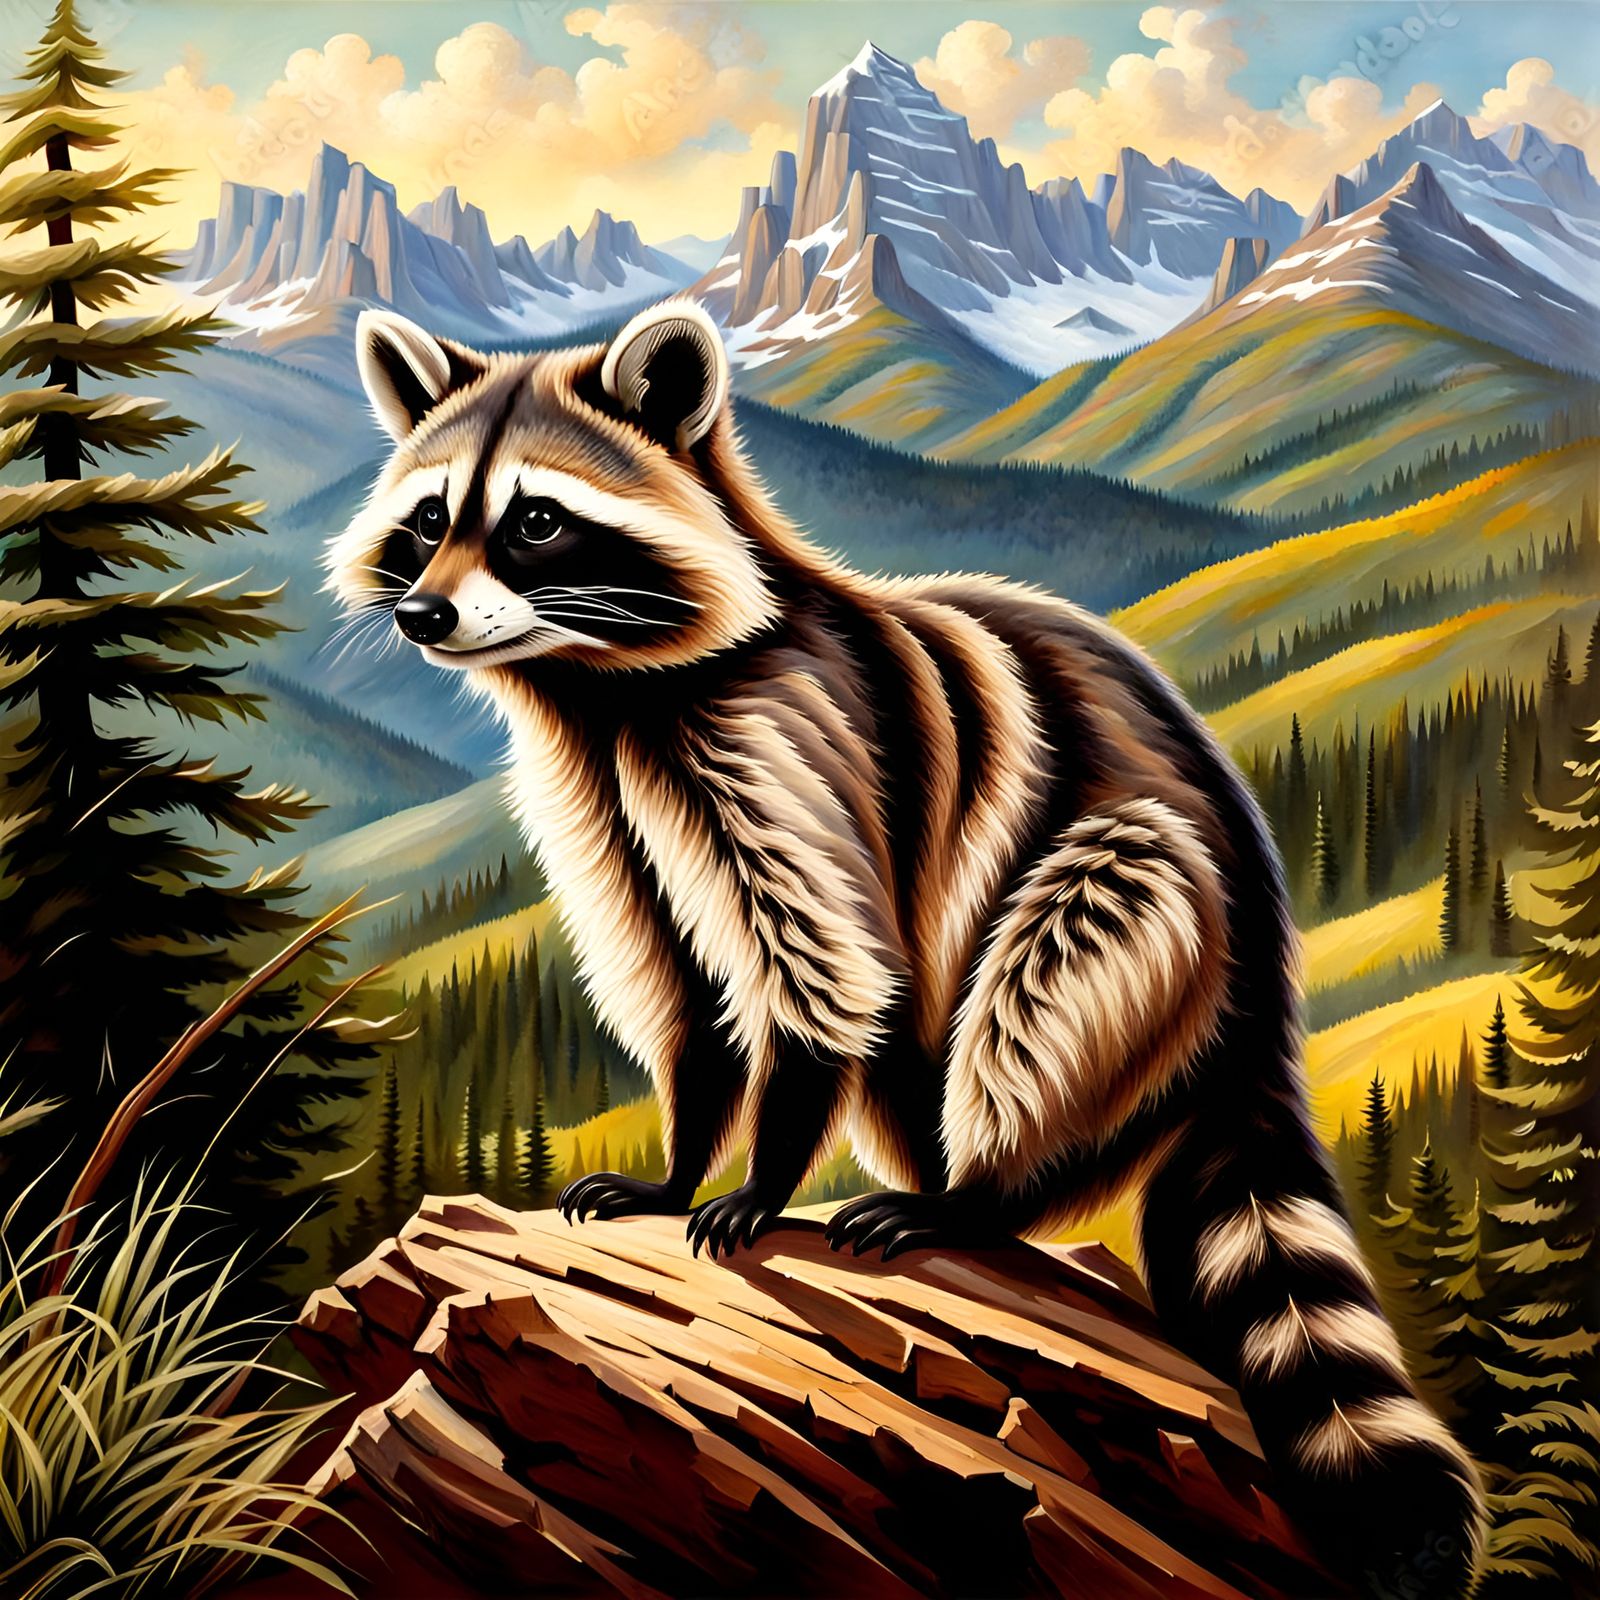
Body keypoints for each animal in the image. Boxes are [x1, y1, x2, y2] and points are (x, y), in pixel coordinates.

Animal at [328, 299, 1485, 1595]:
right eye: (430, 519)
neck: (599, 684)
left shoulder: (789, 752)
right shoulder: (605, 811)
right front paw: (679, 1163)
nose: (422, 614)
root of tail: (1263, 995)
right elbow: (686, 992)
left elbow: (827, 971)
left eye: (536, 519)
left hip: (1153, 899)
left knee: (1068, 955)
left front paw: (763, 1176)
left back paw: (980, 1195)